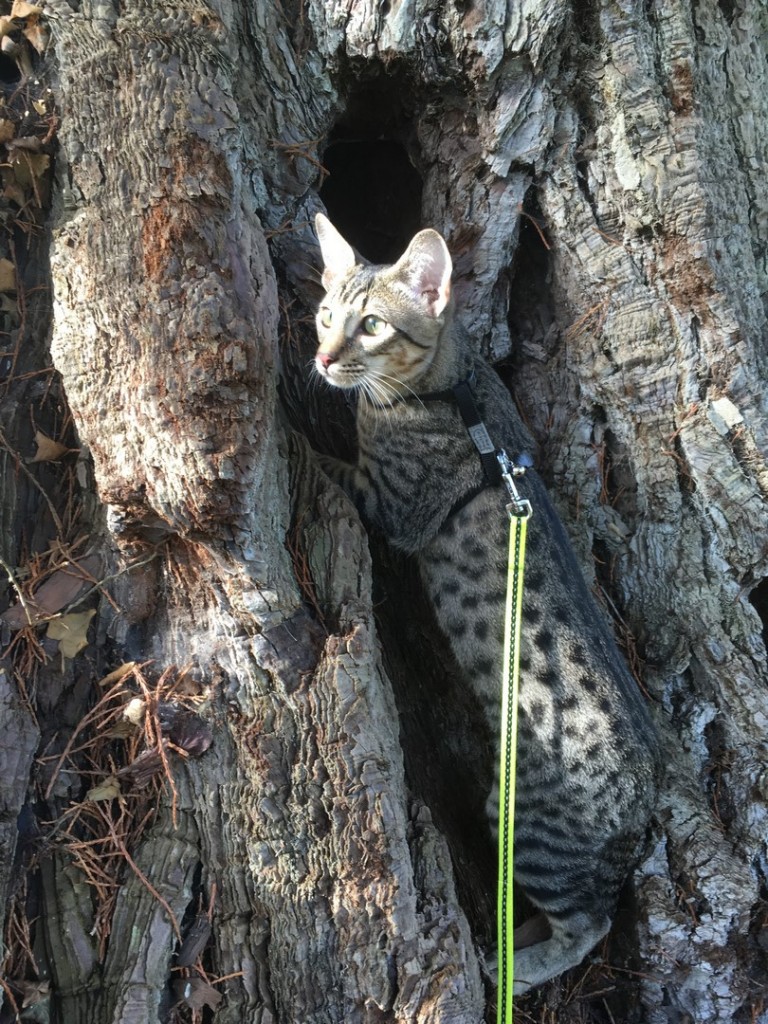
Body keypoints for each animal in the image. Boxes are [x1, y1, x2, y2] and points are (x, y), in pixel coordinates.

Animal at [309, 214, 659, 991]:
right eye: (324, 314)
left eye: (371, 325)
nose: (320, 356)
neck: (451, 388)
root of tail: (646, 807)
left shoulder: (391, 505)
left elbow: (321, 461)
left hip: (532, 828)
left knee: (587, 926)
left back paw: (513, 966)